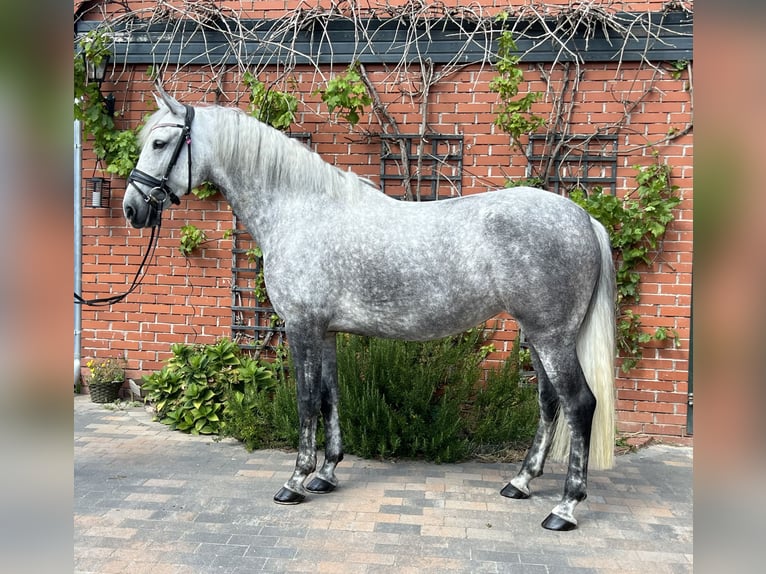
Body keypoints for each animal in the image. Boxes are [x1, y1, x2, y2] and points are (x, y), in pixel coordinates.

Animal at [126, 88, 616, 532]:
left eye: (159, 143)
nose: (133, 209)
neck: (300, 210)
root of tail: (584, 218)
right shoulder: (325, 331)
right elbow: (330, 397)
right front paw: (326, 474)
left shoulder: (301, 327)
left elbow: (306, 400)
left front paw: (296, 481)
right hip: (539, 336)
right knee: (549, 402)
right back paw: (520, 482)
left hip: (552, 337)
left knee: (579, 404)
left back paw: (565, 508)